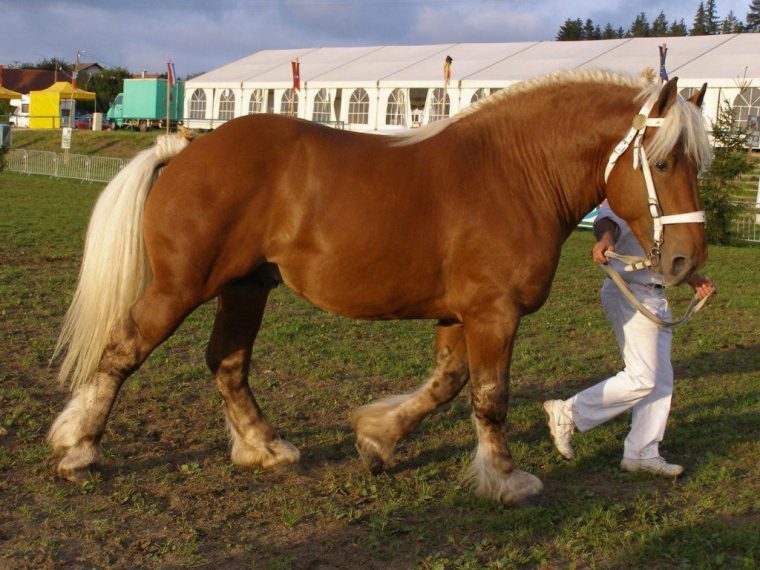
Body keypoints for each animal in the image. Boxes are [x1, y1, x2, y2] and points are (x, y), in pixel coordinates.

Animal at [47, 70, 712, 502]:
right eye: (662, 161)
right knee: (124, 350)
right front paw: (506, 479)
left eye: (696, 162)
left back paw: (265, 448)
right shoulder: (493, 313)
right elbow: (489, 397)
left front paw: (376, 441)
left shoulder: (459, 314)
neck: (512, 174)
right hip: (181, 286)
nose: (687, 261)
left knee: (227, 364)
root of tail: (186, 147)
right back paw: (78, 449)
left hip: (246, 287)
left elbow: (445, 385)